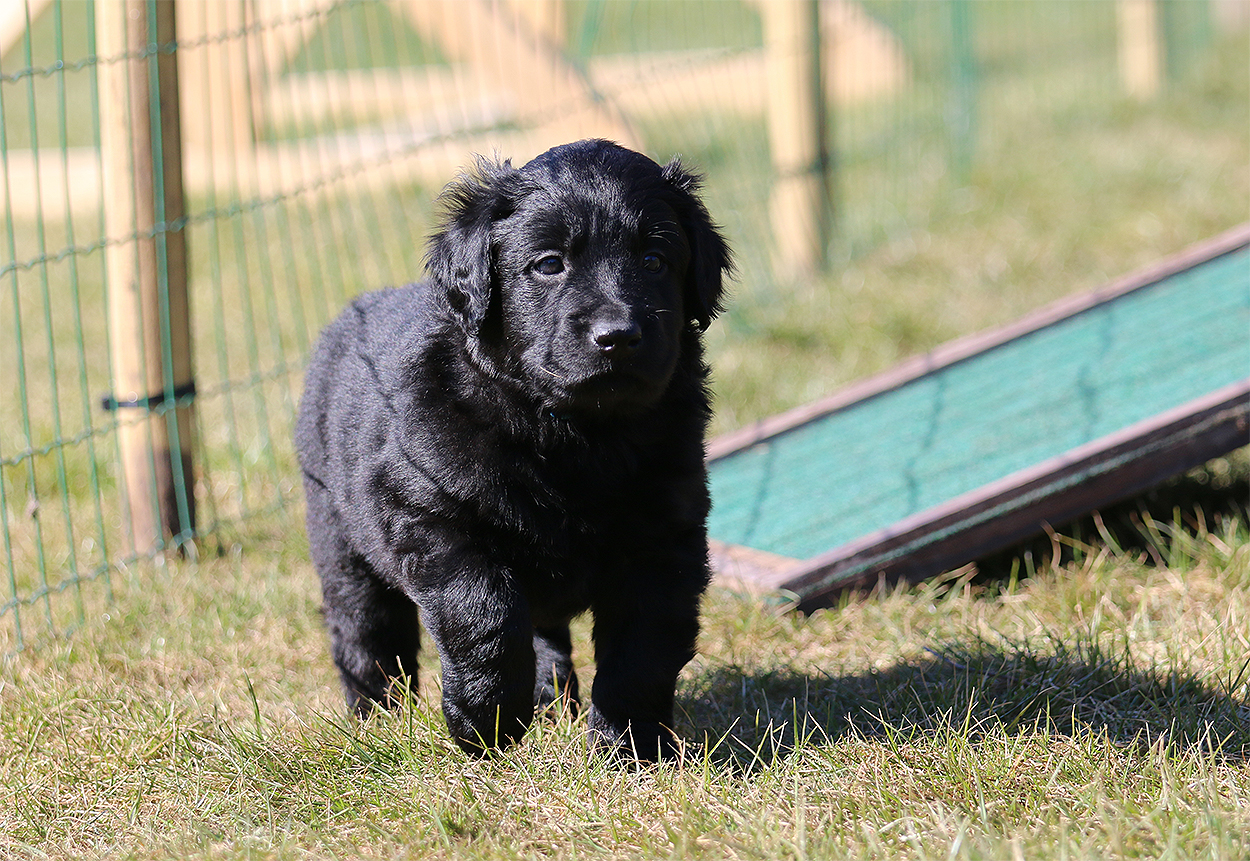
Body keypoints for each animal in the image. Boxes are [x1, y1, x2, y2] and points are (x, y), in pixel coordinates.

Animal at [295, 139, 731, 760]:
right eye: (548, 264)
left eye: (654, 260)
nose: (618, 336)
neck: (575, 434)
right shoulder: (434, 520)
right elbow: (485, 619)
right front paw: (485, 727)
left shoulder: (663, 540)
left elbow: (642, 649)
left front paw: (630, 747)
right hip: (342, 545)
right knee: (366, 634)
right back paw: (377, 722)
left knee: (548, 635)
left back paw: (553, 701)